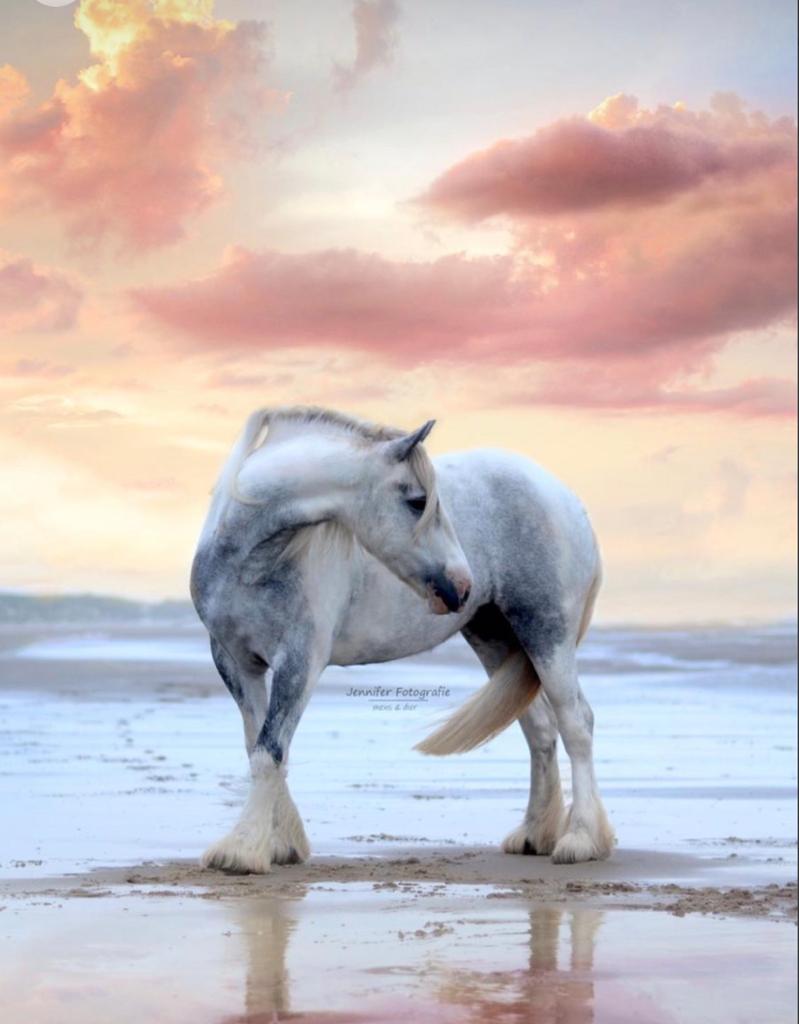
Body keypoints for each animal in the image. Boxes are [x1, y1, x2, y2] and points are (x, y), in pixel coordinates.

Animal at [190, 405, 614, 873]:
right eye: (417, 502)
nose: (462, 584)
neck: (249, 561)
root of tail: (564, 497)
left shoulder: (299, 661)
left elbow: (270, 751)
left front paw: (242, 850)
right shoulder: (236, 663)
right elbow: (259, 747)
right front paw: (279, 844)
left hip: (546, 632)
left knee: (576, 723)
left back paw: (580, 839)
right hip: (494, 636)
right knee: (540, 729)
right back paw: (534, 834)